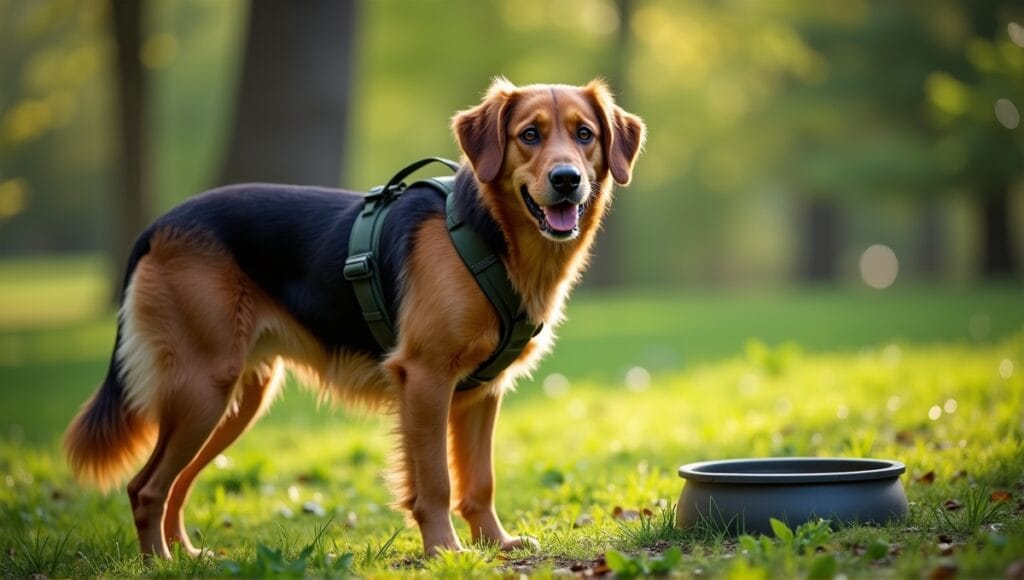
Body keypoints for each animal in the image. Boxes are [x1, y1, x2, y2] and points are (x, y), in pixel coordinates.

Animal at [64, 77, 643, 557]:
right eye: (529, 135)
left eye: (585, 134)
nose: (567, 179)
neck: (489, 234)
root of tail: (160, 225)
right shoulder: (425, 378)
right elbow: (436, 483)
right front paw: (445, 551)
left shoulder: (482, 394)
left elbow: (480, 482)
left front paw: (495, 543)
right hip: (204, 388)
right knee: (146, 487)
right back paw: (159, 562)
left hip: (234, 399)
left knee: (176, 485)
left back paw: (187, 557)